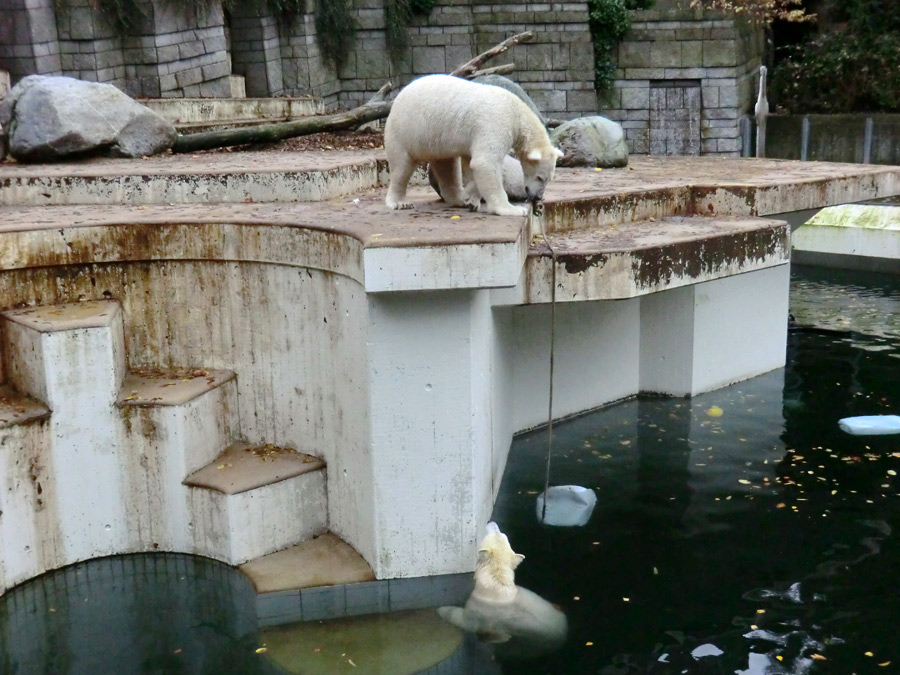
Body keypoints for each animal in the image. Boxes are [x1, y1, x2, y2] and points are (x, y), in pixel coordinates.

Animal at [382, 74, 564, 217]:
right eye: (540, 177)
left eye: (548, 179)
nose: (536, 196)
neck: (516, 113)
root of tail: (398, 97)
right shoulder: (495, 123)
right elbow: (485, 162)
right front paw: (513, 209)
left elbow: (472, 163)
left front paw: (471, 199)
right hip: (406, 130)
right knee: (402, 166)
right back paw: (399, 202)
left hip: (437, 137)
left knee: (447, 165)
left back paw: (459, 198)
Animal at [438, 524, 568, 660]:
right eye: (502, 534)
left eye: (497, 533)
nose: (492, 523)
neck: (496, 586)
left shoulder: (480, 608)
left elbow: (465, 620)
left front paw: (441, 610)